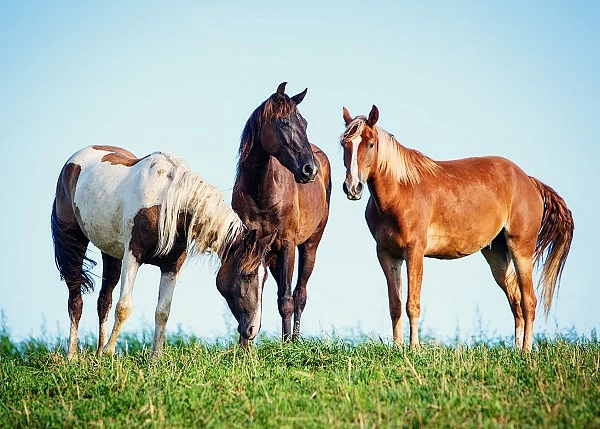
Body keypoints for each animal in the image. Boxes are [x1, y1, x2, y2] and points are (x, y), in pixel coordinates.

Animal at [52, 145, 276, 360]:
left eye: (265, 280)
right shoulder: (132, 256)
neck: (167, 200)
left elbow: (162, 311)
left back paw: (98, 353)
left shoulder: (172, 266)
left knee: (104, 300)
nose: (253, 329)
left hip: (110, 253)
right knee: (75, 299)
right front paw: (110, 351)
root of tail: (72, 162)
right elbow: (124, 307)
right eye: (246, 275)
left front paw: (155, 358)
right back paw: (73, 355)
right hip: (73, 242)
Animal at [216, 82, 330, 342]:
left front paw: (286, 345)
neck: (261, 191)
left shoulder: (287, 243)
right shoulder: (253, 244)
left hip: (309, 246)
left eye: (304, 123)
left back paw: (295, 339)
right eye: (284, 122)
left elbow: (286, 300)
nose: (310, 169)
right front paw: (244, 345)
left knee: (299, 294)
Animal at [340, 104, 576, 352]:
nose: (352, 187)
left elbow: (412, 303)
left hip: (521, 249)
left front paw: (414, 349)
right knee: (516, 300)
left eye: (370, 143)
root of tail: (528, 180)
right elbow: (395, 304)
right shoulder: (387, 254)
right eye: (344, 144)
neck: (400, 192)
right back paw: (516, 349)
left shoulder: (414, 251)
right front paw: (397, 349)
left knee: (529, 300)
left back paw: (526, 351)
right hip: (496, 254)